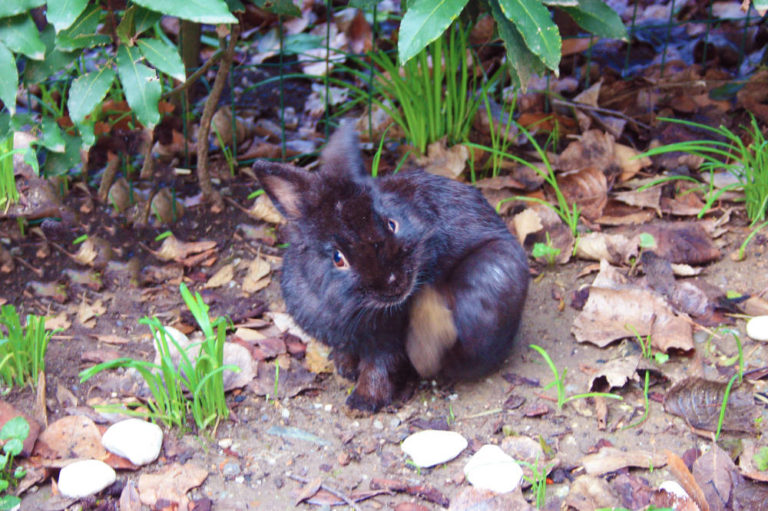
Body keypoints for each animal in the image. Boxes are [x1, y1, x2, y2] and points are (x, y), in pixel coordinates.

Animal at [252, 123, 528, 412]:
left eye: (391, 224)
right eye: (338, 258)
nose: (395, 281)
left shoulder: (386, 343)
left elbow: (379, 368)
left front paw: (361, 402)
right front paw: (345, 369)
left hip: (493, 271)